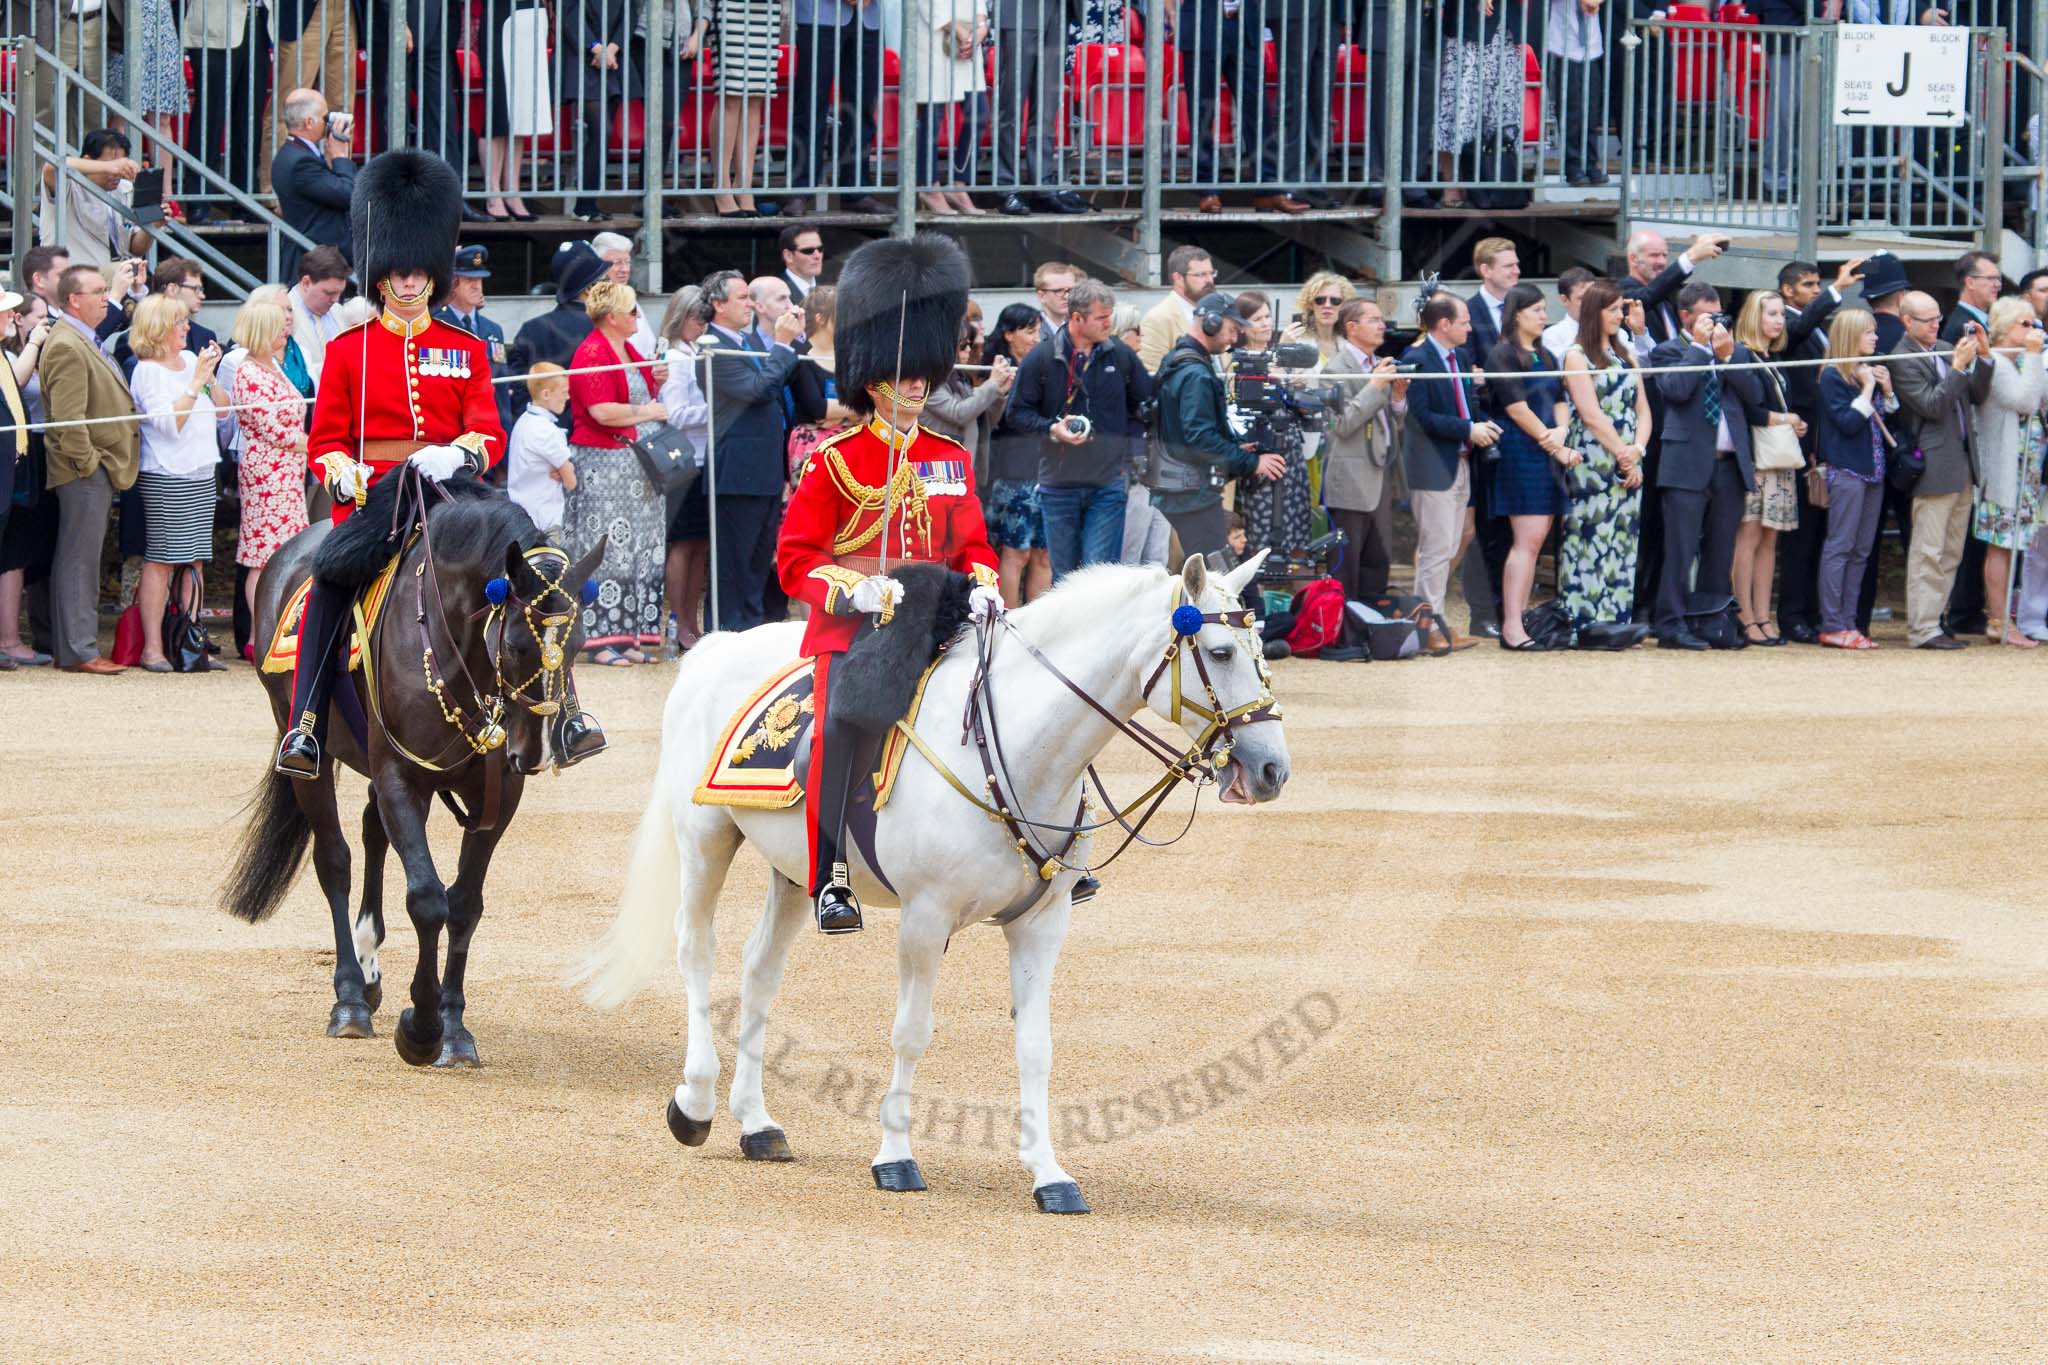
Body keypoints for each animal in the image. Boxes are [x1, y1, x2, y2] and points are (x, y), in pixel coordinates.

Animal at [230, 480, 606, 1064]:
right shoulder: (402, 780)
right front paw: (423, 1029)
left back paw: (368, 967)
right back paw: (350, 997)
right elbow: (428, 900)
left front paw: (453, 1026)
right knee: (335, 859)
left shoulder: (497, 796)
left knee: (371, 831)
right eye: (517, 645)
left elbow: (465, 904)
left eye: (578, 645)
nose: (533, 754)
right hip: (310, 756)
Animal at [569, 556, 1286, 1219]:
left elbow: (1037, 1047)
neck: (1017, 748)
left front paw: (1049, 1172)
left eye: (1260, 651)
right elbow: (910, 1033)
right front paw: (895, 1157)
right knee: (697, 951)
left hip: (794, 869)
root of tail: (714, 645)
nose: (1272, 769)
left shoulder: (1041, 925)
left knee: (758, 969)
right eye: (1219, 652)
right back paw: (694, 1102)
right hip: (706, 839)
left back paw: (757, 1122)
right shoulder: (926, 918)